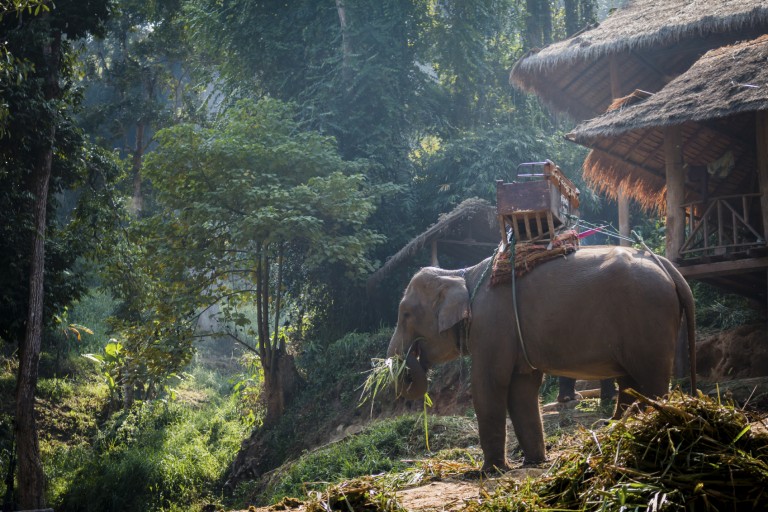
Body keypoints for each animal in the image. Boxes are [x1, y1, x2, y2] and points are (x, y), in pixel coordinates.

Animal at [390, 245, 696, 472]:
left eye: (405, 314)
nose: (411, 358)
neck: (461, 274)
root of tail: (666, 264)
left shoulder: (491, 325)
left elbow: (489, 385)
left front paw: (489, 471)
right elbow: (522, 388)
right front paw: (534, 461)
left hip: (650, 320)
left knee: (652, 381)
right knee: (631, 383)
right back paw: (618, 430)